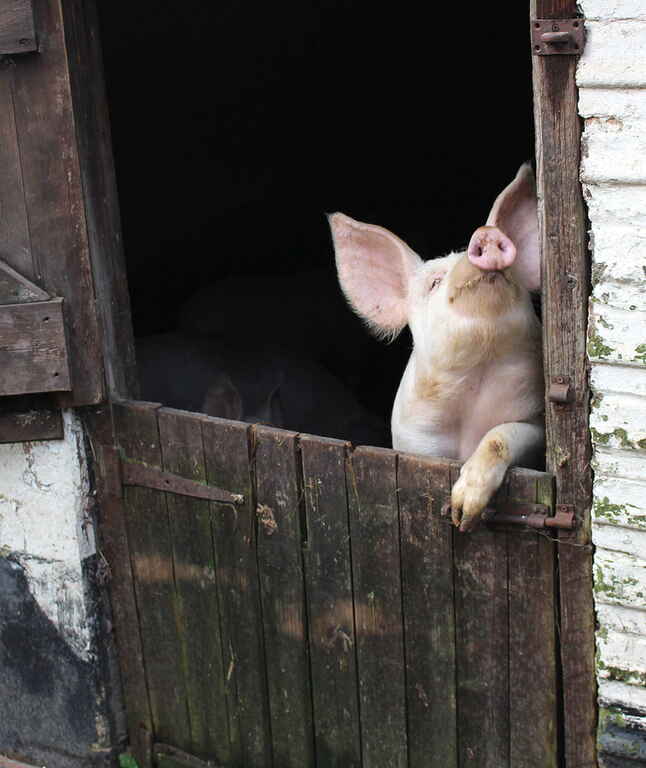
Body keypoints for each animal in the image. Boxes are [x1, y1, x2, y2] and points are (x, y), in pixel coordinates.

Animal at [329, 164, 543, 532]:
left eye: (513, 272)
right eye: (435, 282)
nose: (484, 235)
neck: (478, 375)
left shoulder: (535, 421)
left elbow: (500, 436)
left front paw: (464, 515)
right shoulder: (415, 440)